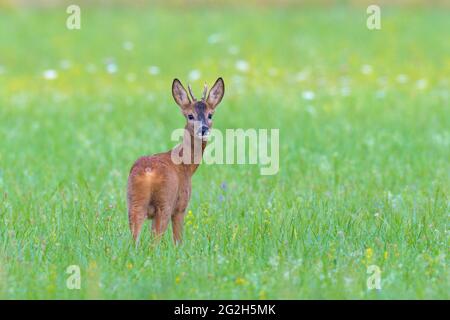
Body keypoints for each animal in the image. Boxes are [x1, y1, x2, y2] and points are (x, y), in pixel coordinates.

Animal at [126, 79, 225, 244]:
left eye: (210, 115)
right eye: (190, 115)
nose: (203, 129)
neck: (186, 166)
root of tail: (148, 172)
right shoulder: (181, 206)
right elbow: (178, 241)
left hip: (134, 202)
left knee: (135, 238)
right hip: (165, 203)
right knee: (154, 241)